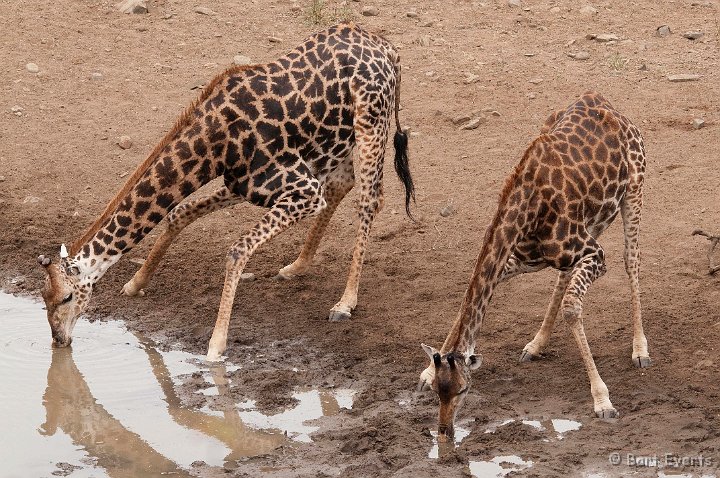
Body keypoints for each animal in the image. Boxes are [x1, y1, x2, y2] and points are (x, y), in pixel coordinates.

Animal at [36, 20, 414, 360]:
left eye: (66, 298)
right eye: (44, 299)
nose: (58, 340)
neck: (215, 145)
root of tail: (388, 49)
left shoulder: (304, 191)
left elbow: (236, 251)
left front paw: (216, 346)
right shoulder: (242, 184)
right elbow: (178, 213)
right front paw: (135, 283)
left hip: (371, 124)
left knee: (370, 200)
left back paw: (344, 302)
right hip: (336, 141)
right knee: (343, 182)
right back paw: (297, 265)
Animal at [416, 91, 648, 438]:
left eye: (463, 390)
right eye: (438, 392)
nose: (444, 431)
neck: (526, 208)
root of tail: (602, 100)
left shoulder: (596, 254)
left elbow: (572, 308)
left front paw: (603, 401)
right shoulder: (522, 258)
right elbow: (469, 297)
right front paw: (428, 371)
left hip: (633, 190)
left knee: (631, 258)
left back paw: (640, 350)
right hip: (591, 223)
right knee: (565, 276)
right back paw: (536, 344)